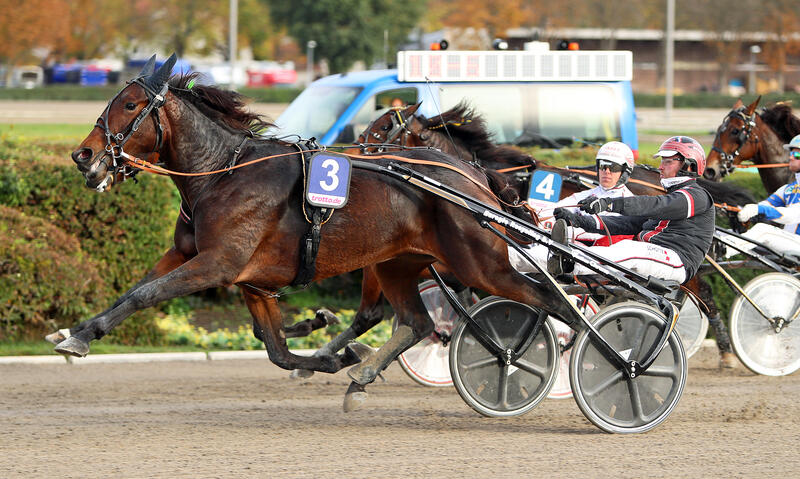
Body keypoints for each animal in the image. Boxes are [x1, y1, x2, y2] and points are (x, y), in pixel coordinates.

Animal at [53, 55, 576, 408]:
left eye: (130, 104)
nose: (83, 154)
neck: (222, 173)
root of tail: (473, 177)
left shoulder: (219, 264)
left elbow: (147, 294)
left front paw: (80, 338)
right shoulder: (223, 269)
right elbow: (275, 350)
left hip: (479, 262)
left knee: (549, 299)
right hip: (398, 263)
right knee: (418, 322)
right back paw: (362, 373)